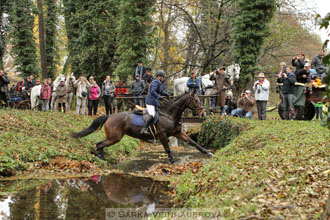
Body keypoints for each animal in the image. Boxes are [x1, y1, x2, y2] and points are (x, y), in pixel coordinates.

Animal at [71, 89, 214, 163]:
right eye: (195, 100)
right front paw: (172, 162)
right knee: (99, 144)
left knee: (100, 144)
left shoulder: (177, 133)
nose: (203, 113)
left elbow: (193, 143)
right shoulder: (162, 135)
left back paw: (101, 157)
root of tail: (109, 116)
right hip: (114, 137)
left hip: (113, 138)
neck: (170, 114)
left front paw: (208, 153)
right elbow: (167, 149)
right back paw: (100, 157)